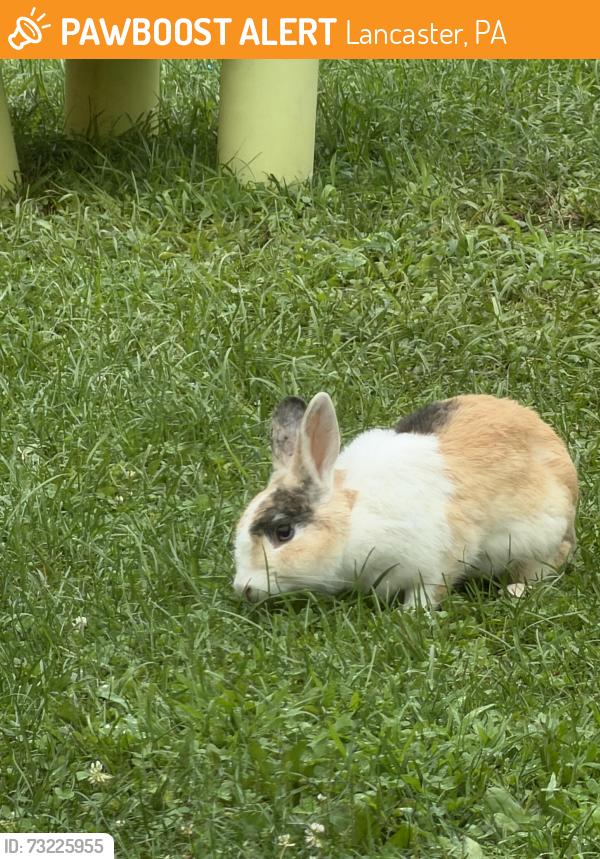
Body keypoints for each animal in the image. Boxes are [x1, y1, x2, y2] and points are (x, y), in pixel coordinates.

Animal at [233, 392, 578, 607]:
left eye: (284, 532)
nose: (243, 588)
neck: (353, 519)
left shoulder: (439, 559)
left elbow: (429, 590)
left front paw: (410, 615)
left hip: (538, 538)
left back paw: (515, 590)